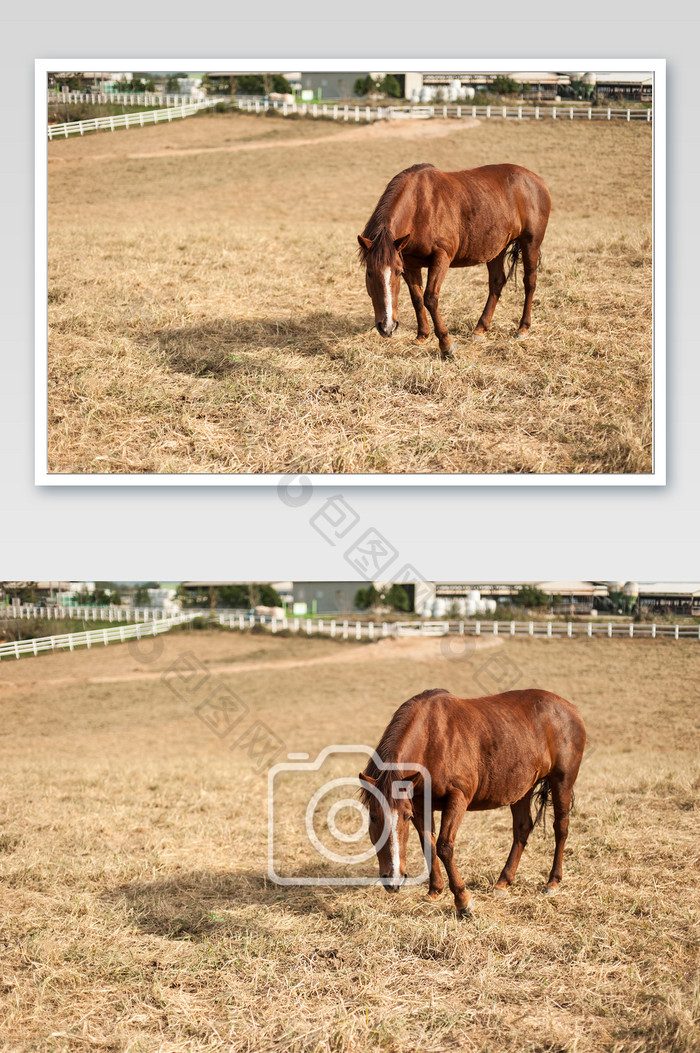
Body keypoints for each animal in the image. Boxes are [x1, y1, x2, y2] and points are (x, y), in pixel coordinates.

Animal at [357, 162, 547, 355]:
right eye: (369, 273)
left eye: (397, 272)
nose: (387, 327)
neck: (419, 206)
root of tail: (537, 180)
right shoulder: (410, 263)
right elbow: (417, 298)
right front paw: (422, 336)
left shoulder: (441, 257)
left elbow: (430, 298)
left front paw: (446, 343)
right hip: (496, 248)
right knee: (497, 282)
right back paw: (480, 329)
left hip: (530, 242)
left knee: (529, 282)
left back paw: (523, 328)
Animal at [360, 686, 585, 918]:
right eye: (373, 817)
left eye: (405, 817)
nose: (393, 880)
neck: (433, 738)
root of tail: (570, 709)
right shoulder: (420, 803)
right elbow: (428, 843)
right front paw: (434, 891)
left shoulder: (457, 798)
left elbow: (444, 846)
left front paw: (462, 899)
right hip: (522, 788)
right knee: (522, 828)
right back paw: (503, 882)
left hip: (562, 780)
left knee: (561, 828)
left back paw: (553, 882)